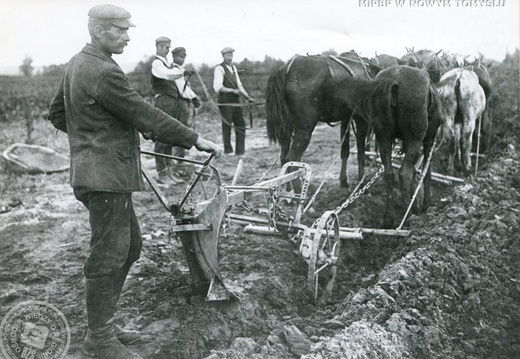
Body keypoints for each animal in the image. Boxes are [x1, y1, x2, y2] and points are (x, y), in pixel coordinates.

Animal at [266, 53, 380, 190]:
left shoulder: (346, 119)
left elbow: (345, 151)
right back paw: (298, 192)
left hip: (287, 130)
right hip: (304, 130)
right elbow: (361, 154)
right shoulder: (360, 120)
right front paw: (361, 183)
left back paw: (288, 190)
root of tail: (286, 69)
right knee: (292, 160)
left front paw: (344, 181)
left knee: (284, 158)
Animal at [374, 66, 442, 229]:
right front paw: (425, 204)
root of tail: (394, 79)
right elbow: (425, 172)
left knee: (389, 174)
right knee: (404, 173)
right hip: (414, 139)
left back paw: (389, 219)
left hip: (384, 138)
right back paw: (409, 215)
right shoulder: (428, 140)